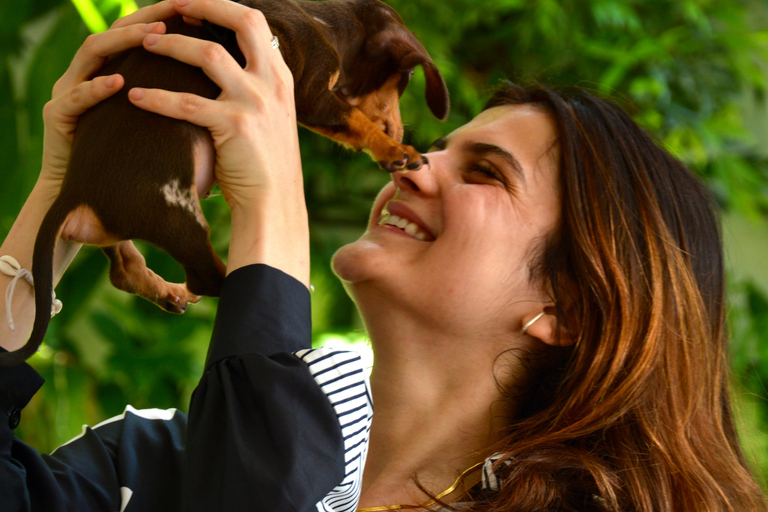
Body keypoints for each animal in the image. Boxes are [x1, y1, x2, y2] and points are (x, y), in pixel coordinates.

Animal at [0, 0, 448, 368]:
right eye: (408, 75)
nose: (398, 130)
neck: (324, 19)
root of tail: (74, 190)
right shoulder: (314, 94)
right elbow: (355, 121)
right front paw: (397, 149)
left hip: (119, 223)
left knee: (124, 269)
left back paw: (166, 290)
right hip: (177, 210)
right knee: (207, 278)